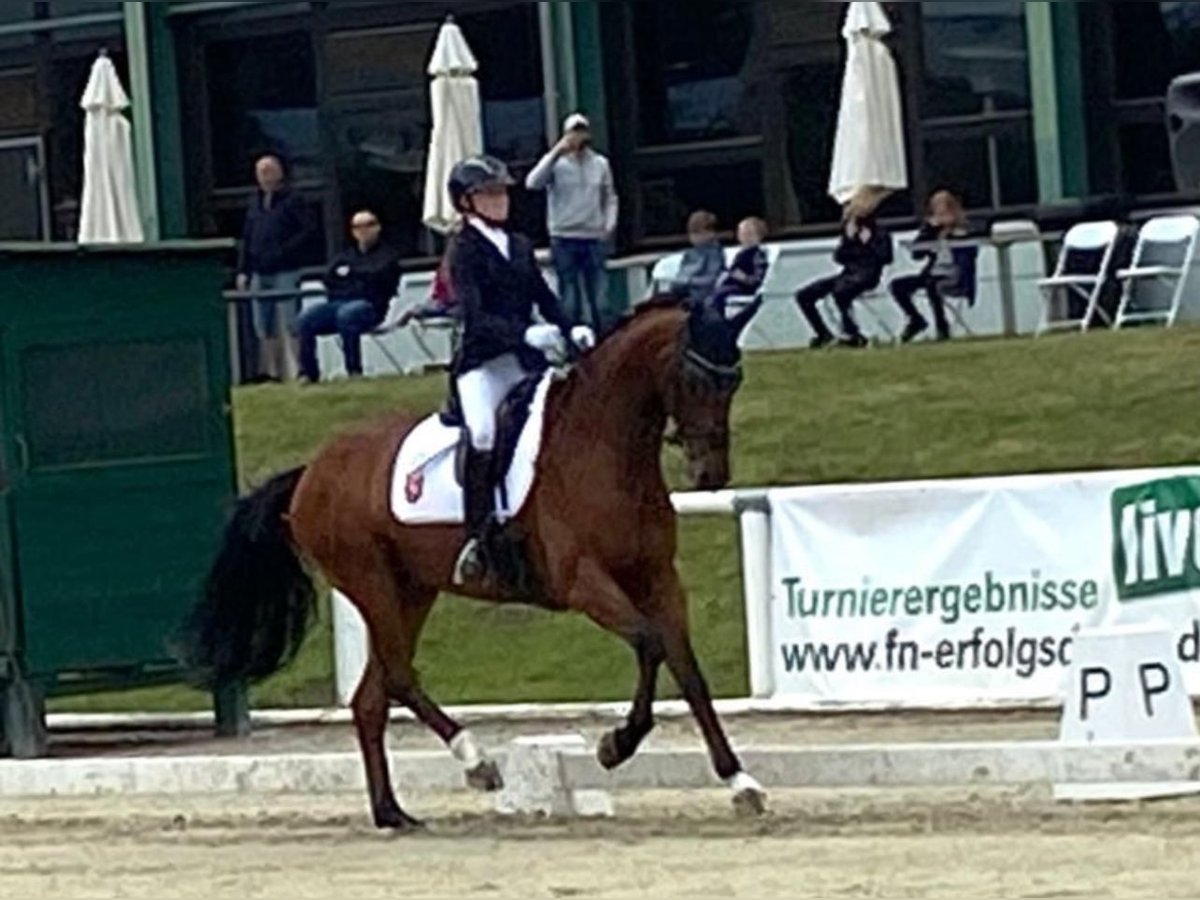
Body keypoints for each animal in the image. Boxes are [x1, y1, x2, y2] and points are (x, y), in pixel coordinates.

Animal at [182, 296, 763, 830]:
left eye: (735, 381)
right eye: (694, 377)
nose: (711, 473)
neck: (602, 445)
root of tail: (310, 473)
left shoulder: (658, 578)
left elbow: (688, 672)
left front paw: (740, 782)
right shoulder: (583, 581)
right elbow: (649, 644)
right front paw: (614, 745)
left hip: (412, 589)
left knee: (372, 697)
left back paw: (392, 812)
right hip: (370, 581)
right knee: (398, 676)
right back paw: (476, 761)